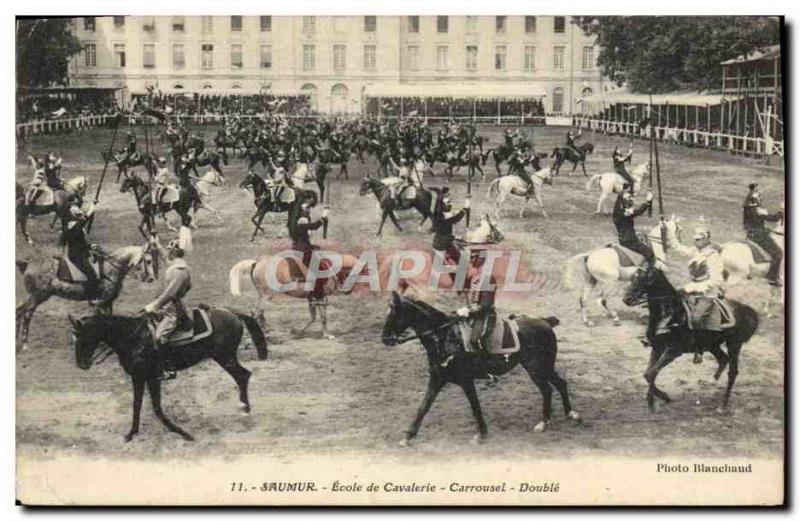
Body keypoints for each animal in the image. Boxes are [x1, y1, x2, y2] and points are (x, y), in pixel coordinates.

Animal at [15, 241, 158, 350]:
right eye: (148, 261)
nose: (151, 279)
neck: (110, 269)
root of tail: (27, 264)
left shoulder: (108, 302)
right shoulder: (100, 301)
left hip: (37, 298)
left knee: (23, 314)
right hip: (36, 297)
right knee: (23, 313)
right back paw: (24, 344)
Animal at [69, 308, 268, 442]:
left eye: (83, 338)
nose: (81, 364)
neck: (132, 338)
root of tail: (233, 313)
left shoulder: (151, 377)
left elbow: (157, 408)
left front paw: (182, 433)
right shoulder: (138, 377)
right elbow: (137, 405)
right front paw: (132, 433)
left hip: (225, 358)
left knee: (242, 376)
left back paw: (245, 409)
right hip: (225, 358)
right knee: (243, 376)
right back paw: (244, 408)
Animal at [382, 290, 580, 444]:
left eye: (393, 313)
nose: (385, 339)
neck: (445, 337)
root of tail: (545, 321)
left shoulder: (466, 381)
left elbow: (475, 406)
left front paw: (482, 434)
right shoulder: (437, 379)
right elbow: (423, 407)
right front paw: (408, 436)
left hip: (536, 368)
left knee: (548, 389)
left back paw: (545, 422)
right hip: (544, 367)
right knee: (559, 384)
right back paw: (568, 414)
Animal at [620, 266, 760, 412]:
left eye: (643, 280)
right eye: (632, 278)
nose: (626, 299)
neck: (671, 314)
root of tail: (748, 310)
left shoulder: (672, 351)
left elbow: (651, 374)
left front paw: (662, 397)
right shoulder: (657, 348)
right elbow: (649, 374)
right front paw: (653, 401)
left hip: (734, 345)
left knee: (732, 373)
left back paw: (723, 405)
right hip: (712, 345)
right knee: (723, 359)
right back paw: (712, 381)